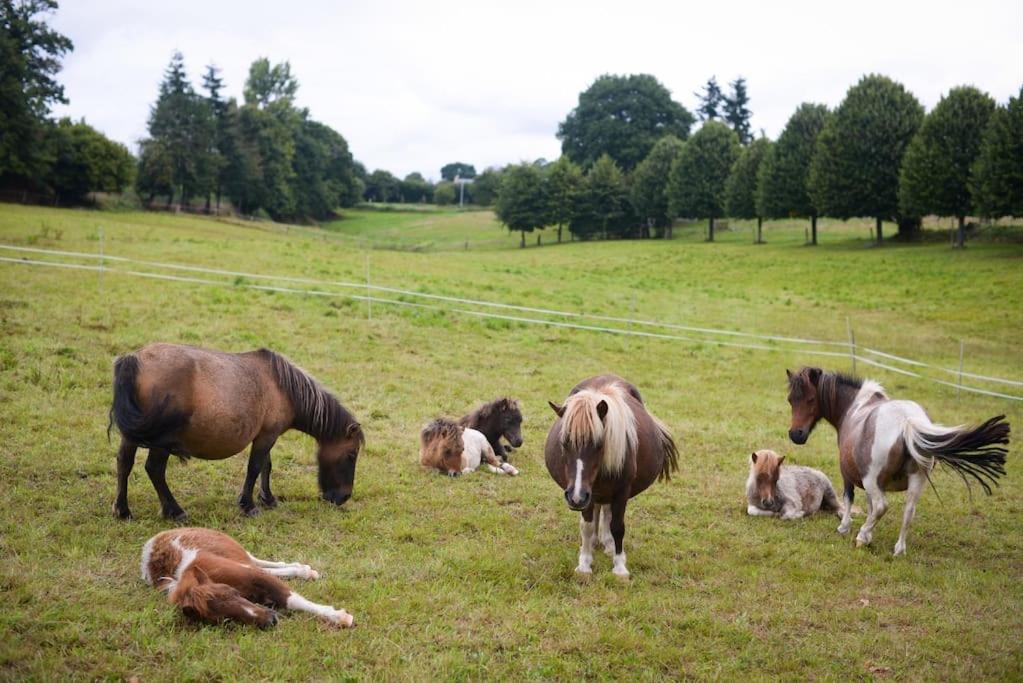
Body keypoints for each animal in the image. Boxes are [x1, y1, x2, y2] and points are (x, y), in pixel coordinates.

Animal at [110, 343, 366, 519]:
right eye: (351, 455)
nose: (344, 497)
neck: (282, 387)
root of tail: (134, 360)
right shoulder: (266, 436)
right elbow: (254, 468)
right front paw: (248, 505)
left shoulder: (266, 435)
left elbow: (266, 467)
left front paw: (268, 499)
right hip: (161, 442)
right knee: (154, 469)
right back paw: (174, 511)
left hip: (131, 436)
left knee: (124, 463)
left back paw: (123, 510)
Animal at [142, 527, 353, 629]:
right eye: (225, 620)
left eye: (233, 593)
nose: (271, 620)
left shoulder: (253, 576)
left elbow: (291, 599)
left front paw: (341, 617)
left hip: (242, 556)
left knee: (259, 562)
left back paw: (305, 571)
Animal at [544, 376, 679, 580]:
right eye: (564, 442)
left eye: (599, 444)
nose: (575, 497)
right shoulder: (586, 495)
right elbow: (587, 526)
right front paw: (584, 564)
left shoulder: (619, 492)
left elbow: (617, 526)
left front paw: (620, 567)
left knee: (607, 513)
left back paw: (608, 543)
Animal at [785, 368, 1010, 556]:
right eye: (790, 400)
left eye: (810, 399)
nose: (796, 434)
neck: (855, 406)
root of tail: (907, 421)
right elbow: (870, 506)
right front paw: (868, 532)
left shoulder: (849, 474)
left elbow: (850, 500)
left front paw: (846, 527)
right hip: (916, 481)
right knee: (908, 511)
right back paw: (898, 549)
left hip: (873, 480)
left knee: (882, 506)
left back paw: (862, 536)